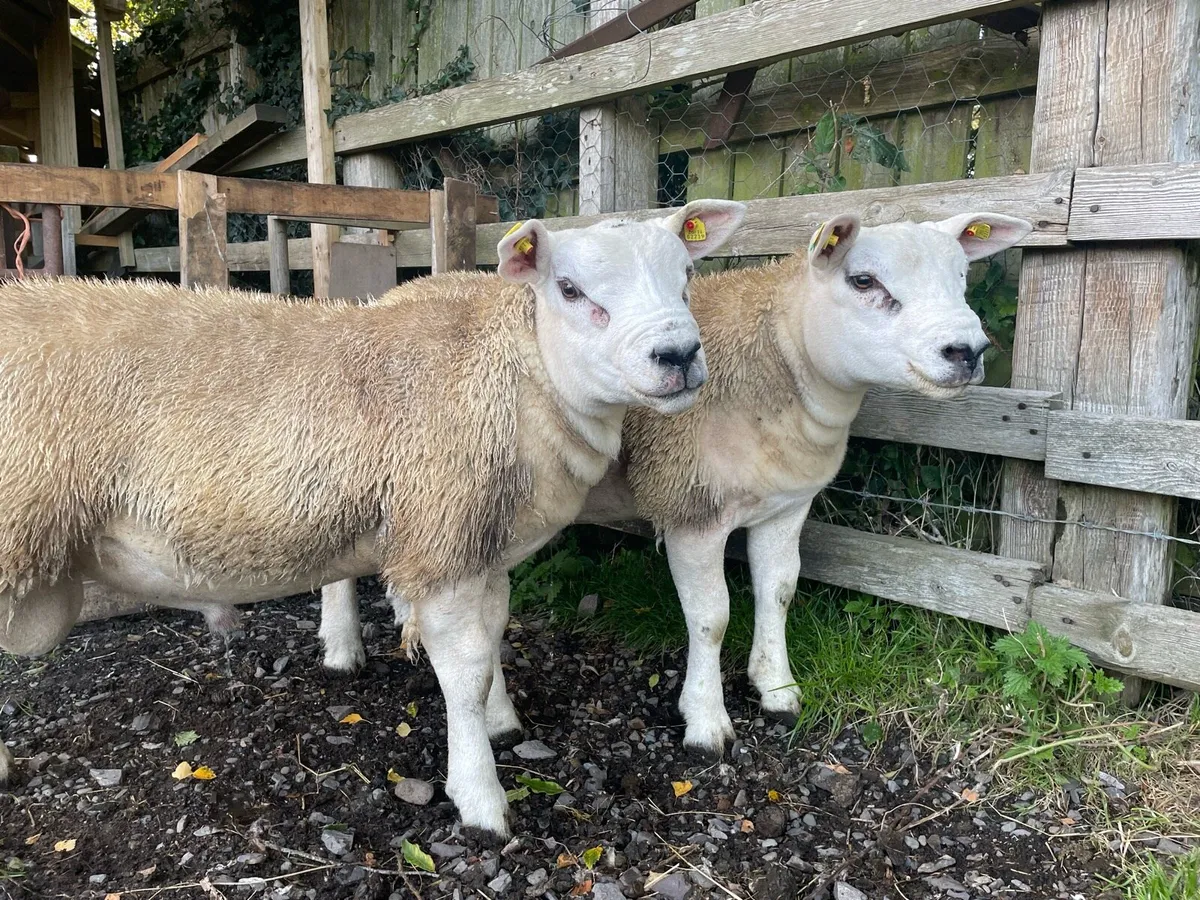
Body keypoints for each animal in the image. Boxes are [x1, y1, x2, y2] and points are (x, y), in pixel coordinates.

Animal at [0, 198, 747, 837]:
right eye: (568, 288)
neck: (515, 368)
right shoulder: (441, 535)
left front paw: (502, 723)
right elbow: (466, 669)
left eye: (687, 275)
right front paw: (480, 798)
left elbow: (494, 637)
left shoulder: (479, 538)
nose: (679, 355)